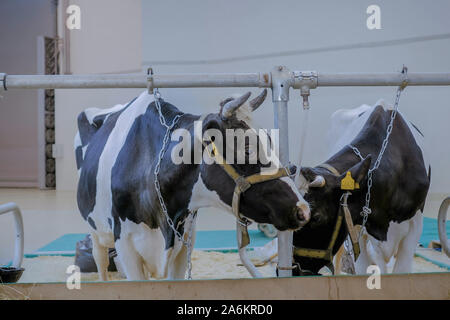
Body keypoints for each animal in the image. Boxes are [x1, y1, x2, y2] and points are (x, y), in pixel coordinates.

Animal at [75, 90, 312, 280]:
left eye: (270, 141)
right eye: (247, 148)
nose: (303, 210)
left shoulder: (183, 244)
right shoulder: (126, 246)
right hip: (96, 231)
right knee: (100, 260)